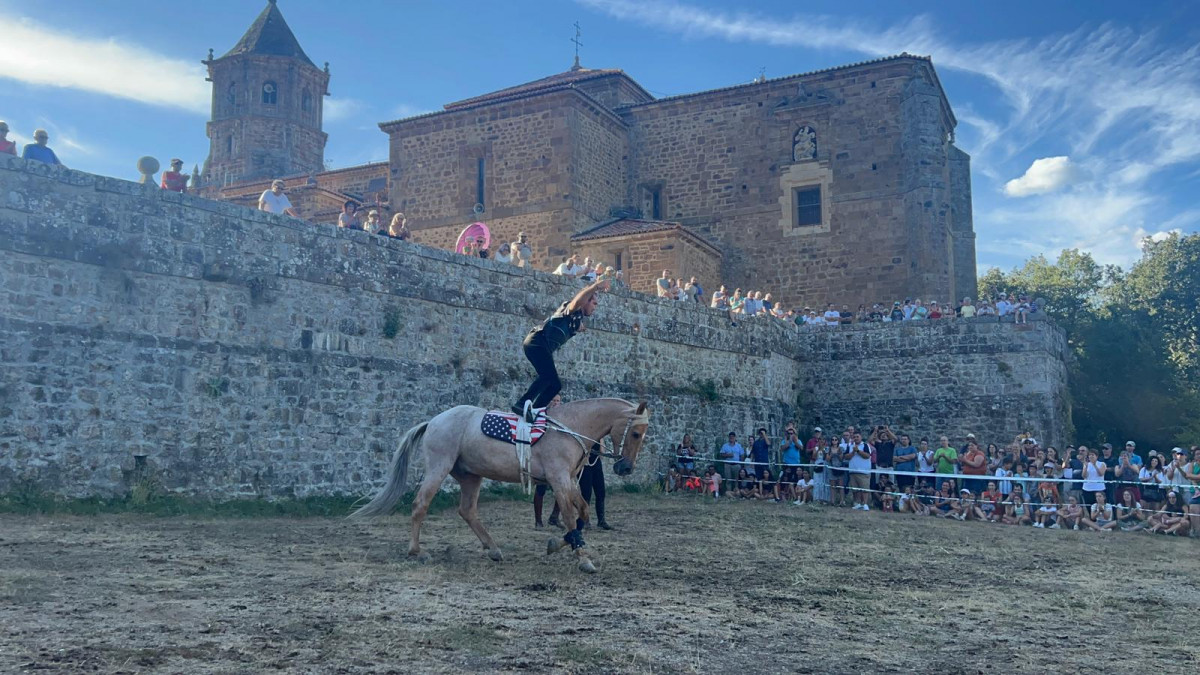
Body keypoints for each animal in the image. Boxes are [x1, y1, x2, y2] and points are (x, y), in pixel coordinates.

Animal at [350, 396, 648, 569]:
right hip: (439, 467)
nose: (625, 468)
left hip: (470, 475)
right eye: (635, 433)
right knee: (420, 504)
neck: (570, 427)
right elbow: (570, 516)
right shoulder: (559, 479)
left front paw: (559, 544)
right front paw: (582, 557)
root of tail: (434, 421)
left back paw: (493, 549)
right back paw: (416, 552)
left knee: (467, 511)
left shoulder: (569, 480)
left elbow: (583, 512)